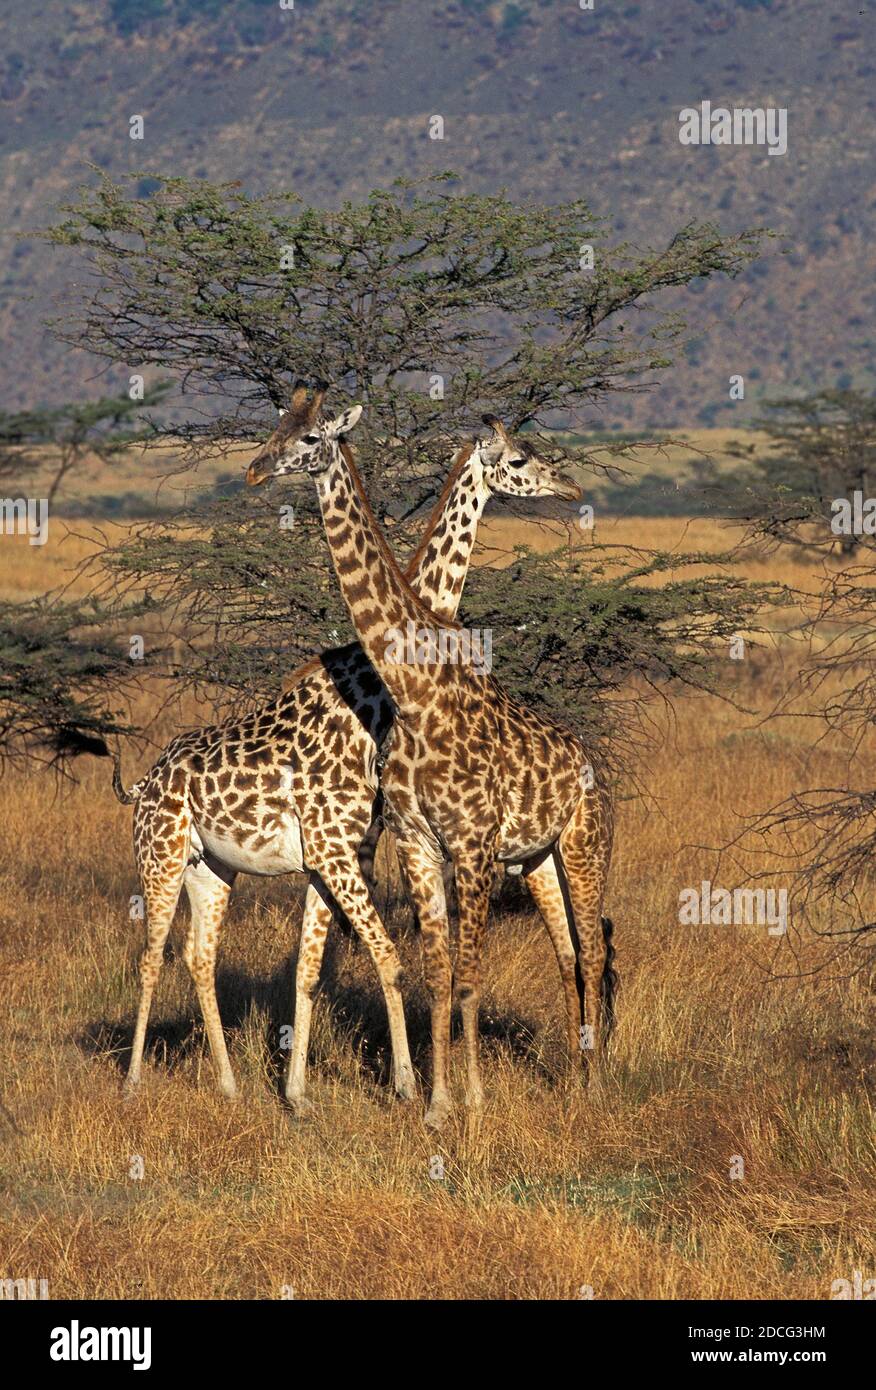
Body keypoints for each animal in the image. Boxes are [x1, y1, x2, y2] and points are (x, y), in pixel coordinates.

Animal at [113, 384, 580, 1112]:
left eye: (307, 435)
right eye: (521, 457)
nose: (567, 484)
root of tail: (147, 777)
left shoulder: (342, 852)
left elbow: (314, 970)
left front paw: (302, 1093)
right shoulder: (338, 851)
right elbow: (384, 960)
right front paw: (408, 1087)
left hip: (209, 866)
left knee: (196, 956)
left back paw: (230, 1086)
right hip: (157, 857)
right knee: (149, 955)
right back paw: (135, 1082)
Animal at [246, 387, 615, 1129]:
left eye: (308, 437)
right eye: (276, 430)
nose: (254, 470)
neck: (415, 689)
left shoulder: (470, 846)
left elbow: (465, 977)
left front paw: (464, 1097)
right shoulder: (416, 840)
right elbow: (437, 974)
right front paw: (437, 1100)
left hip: (574, 846)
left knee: (587, 953)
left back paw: (591, 1084)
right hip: (529, 858)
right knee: (566, 954)